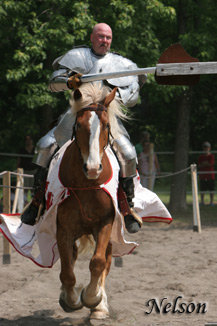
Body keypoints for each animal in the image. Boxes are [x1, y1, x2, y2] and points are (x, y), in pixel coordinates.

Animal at [56, 83, 126, 320]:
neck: (86, 185)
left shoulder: (104, 223)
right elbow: (67, 272)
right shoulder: (64, 229)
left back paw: (100, 306)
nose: (93, 168)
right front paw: (71, 300)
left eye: (106, 126)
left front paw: (93, 298)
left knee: (106, 259)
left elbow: (98, 262)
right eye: (79, 125)